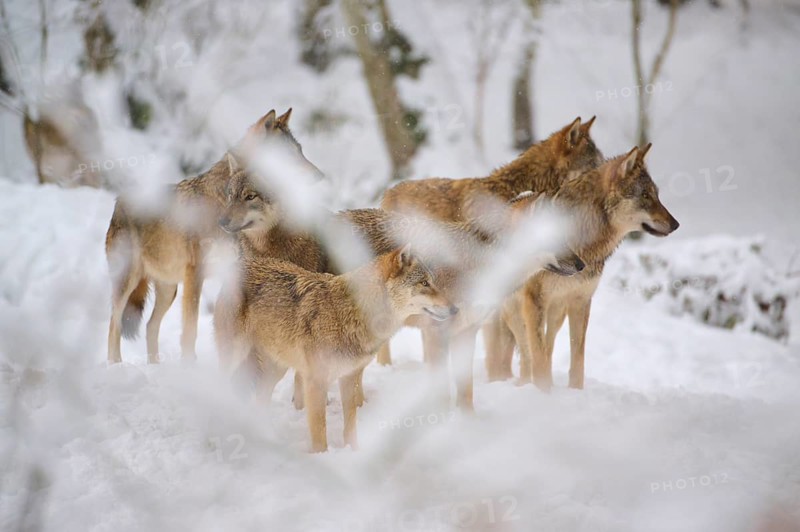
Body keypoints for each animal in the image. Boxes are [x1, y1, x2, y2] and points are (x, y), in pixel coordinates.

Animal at [105, 108, 319, 364]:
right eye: (285, 158)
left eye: (300, 152)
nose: (320, 177)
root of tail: (118, 201)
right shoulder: (194, 273)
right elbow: (191, 329)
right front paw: (189, 365)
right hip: (128, 283)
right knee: (113, 324)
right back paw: (115, 365)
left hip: (168, 290)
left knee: (149, 326)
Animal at [486, 144, 680, 390]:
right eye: (645, 195)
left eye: (656, 195)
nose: (676, 224)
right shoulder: (534, 302)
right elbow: (537, 358)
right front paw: (542, 393)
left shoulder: (581, 301)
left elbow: (576, 359)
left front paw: (572, 392)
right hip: (511, 312)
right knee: (512, 356)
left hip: (555, 312)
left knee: (541, 350)